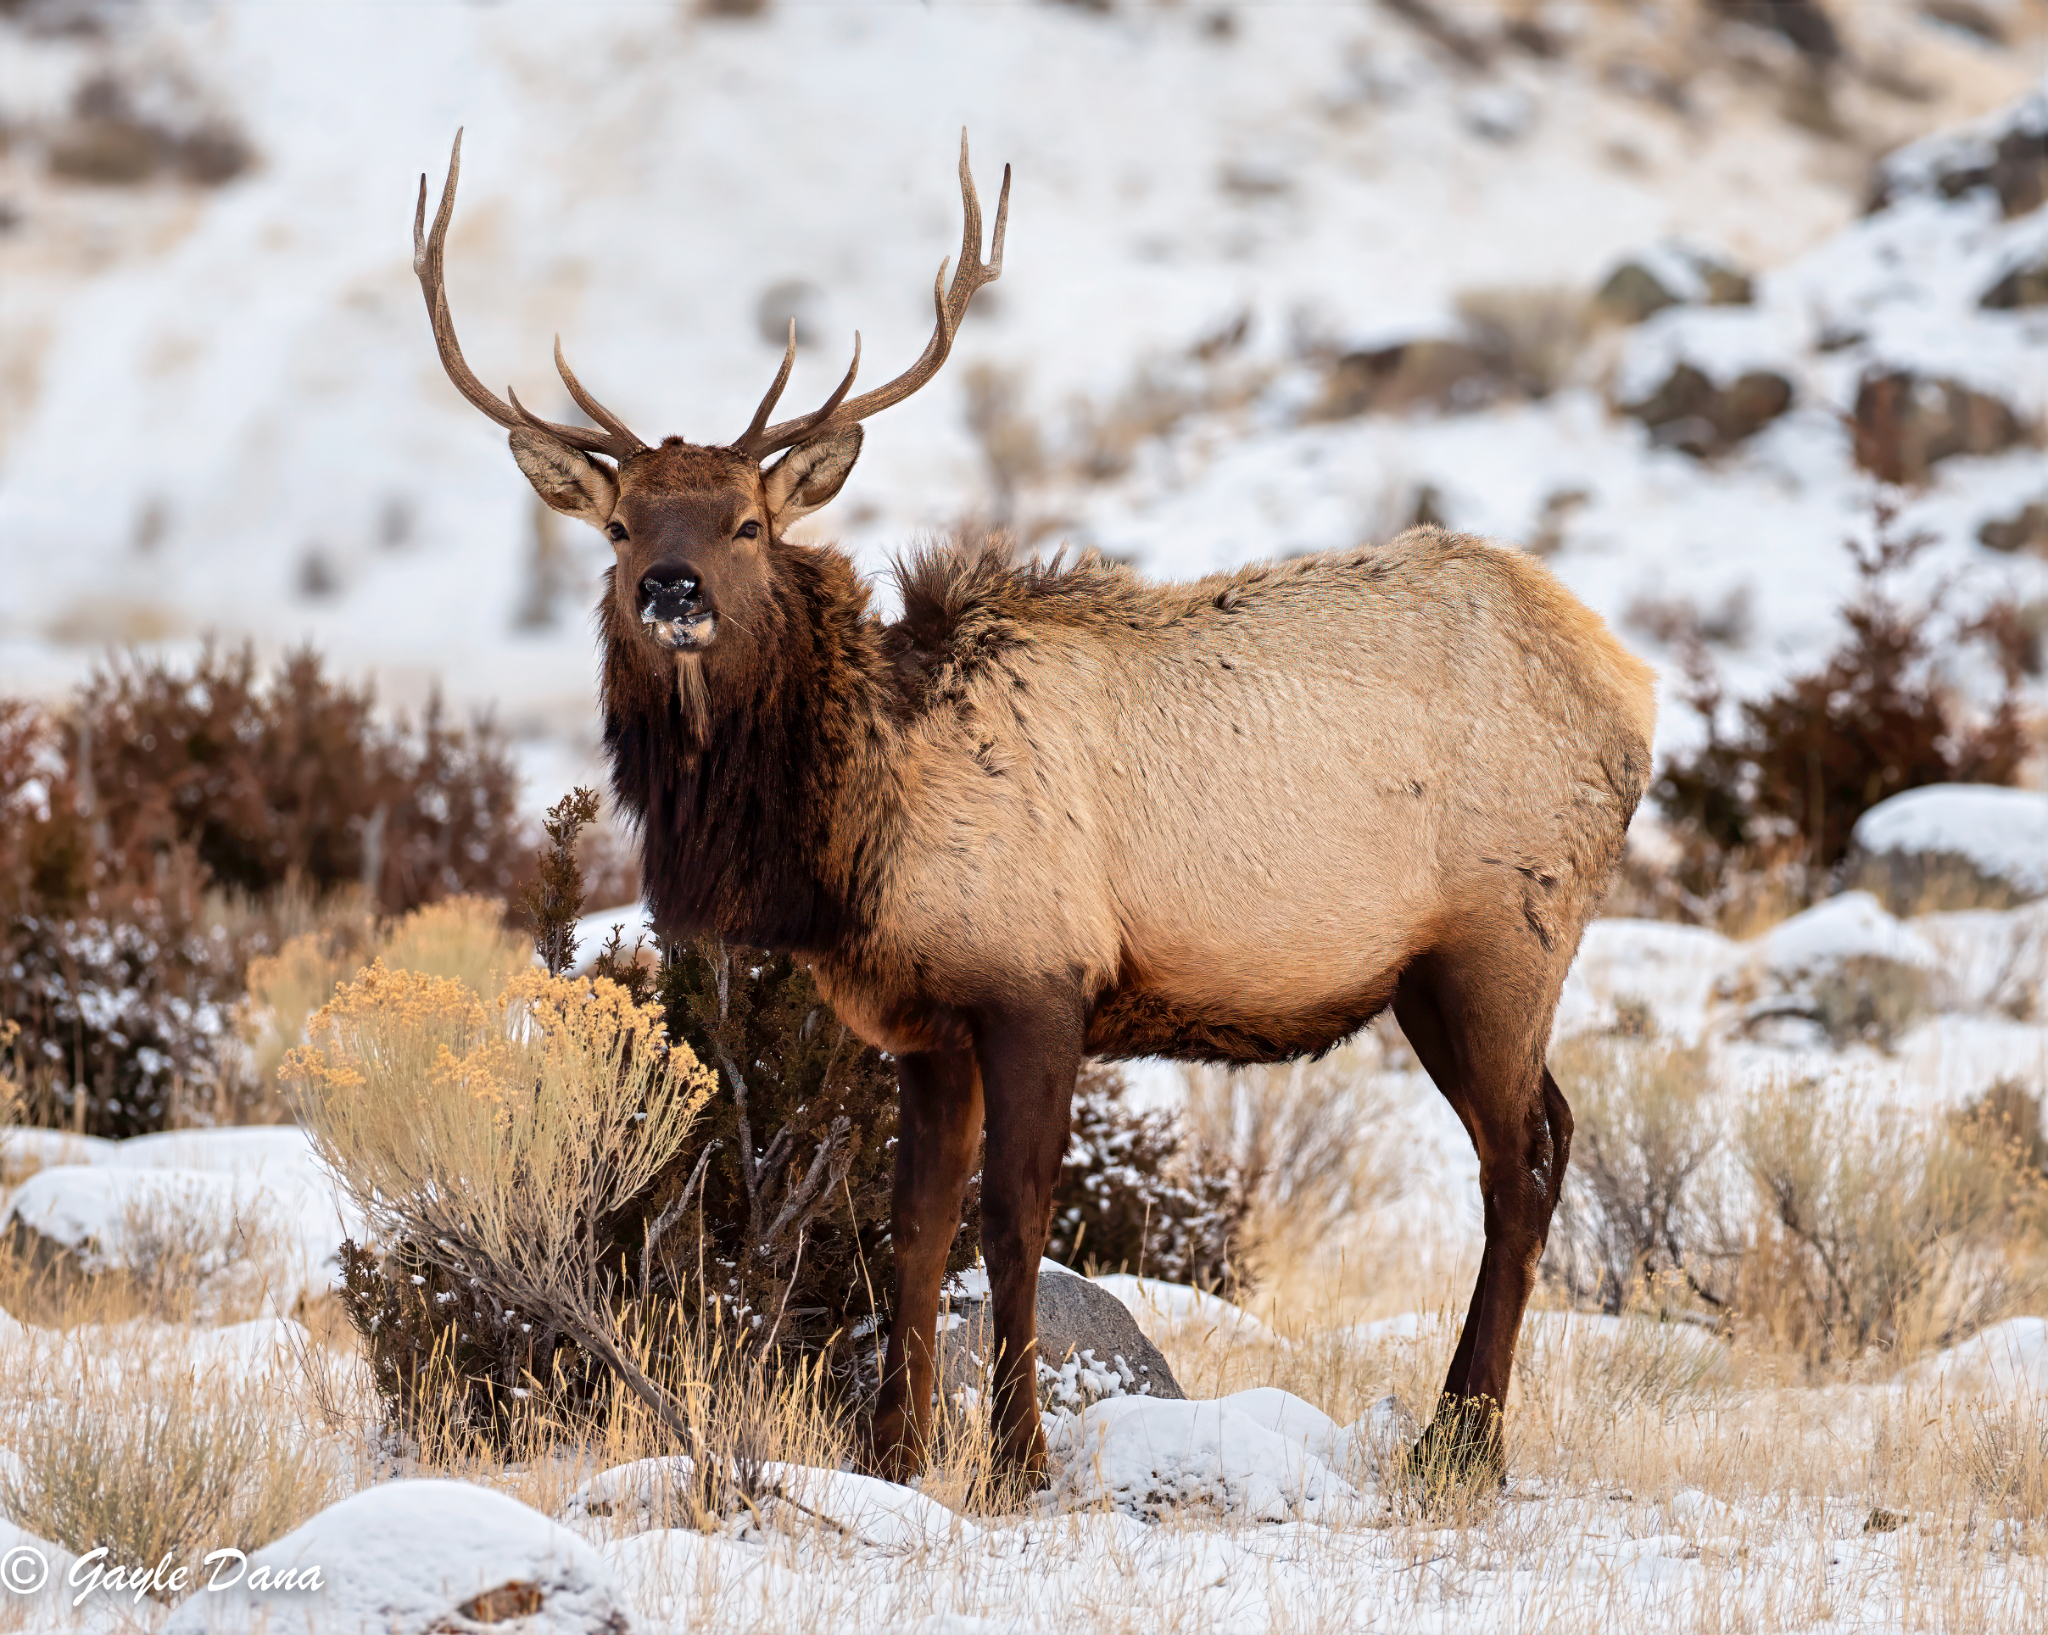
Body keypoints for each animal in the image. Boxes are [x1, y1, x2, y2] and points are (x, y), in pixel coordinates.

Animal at [412, 130, 1657, 1487]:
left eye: (746, 521)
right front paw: (893, 1453)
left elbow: (1013, 1223)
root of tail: (1629, 687)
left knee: (1517, 1167)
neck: (853, 837)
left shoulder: (1039, 982)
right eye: (619, 524)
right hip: (1446, 976)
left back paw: (1459, 1440)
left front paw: (1018, 1454)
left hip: (1501, 939)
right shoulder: (920, 1020)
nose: (672, 589)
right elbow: (910, 1230)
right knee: (1549, 1139)